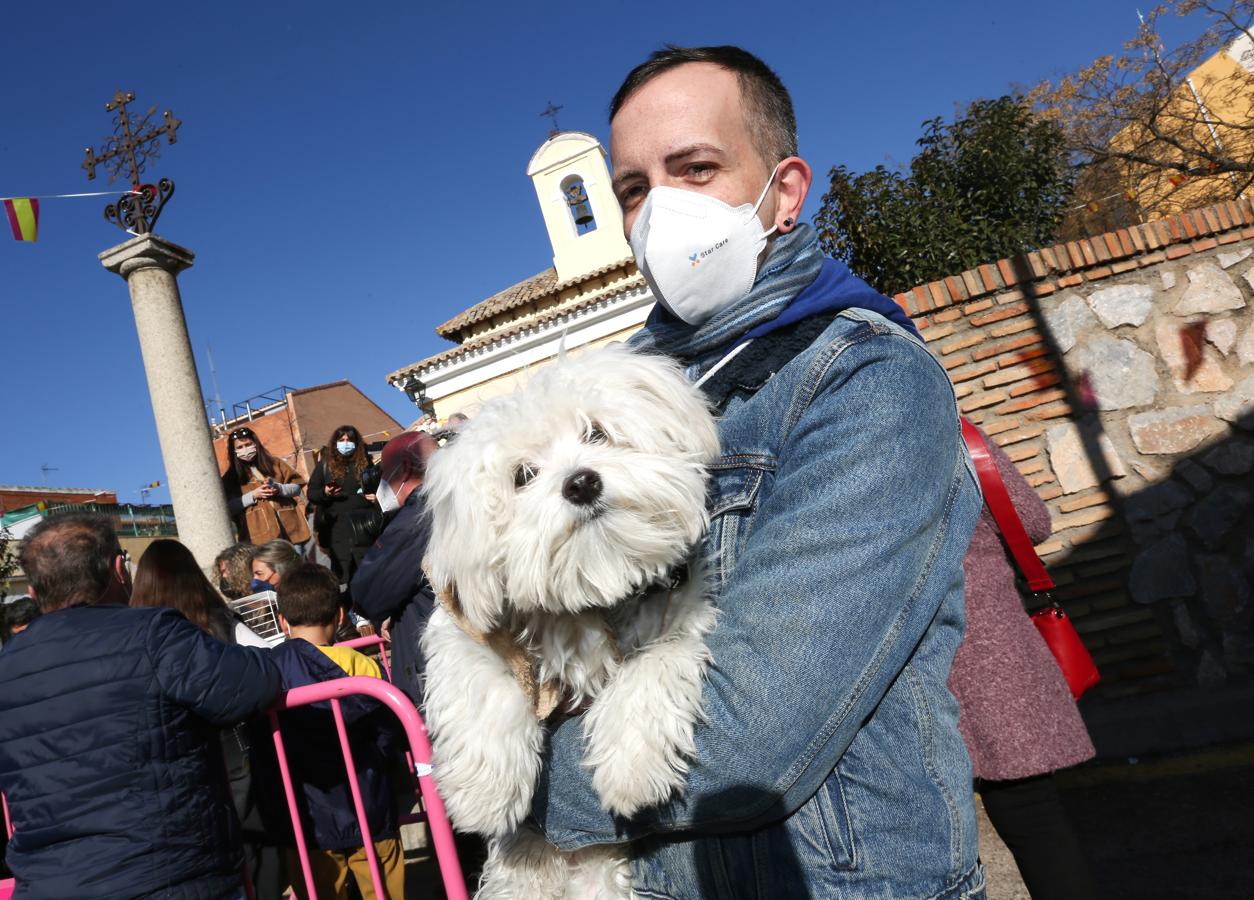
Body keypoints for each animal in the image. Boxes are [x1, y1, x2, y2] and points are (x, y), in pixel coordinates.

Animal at [418, 345, 717, 900]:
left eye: (596, 432)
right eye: (523, 475)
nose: (581, 482)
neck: (594, 585)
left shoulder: (680, 612)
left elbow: (655, 664)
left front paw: (631, 766)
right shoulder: (467, 620)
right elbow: (483, 681)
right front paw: (482, 794)